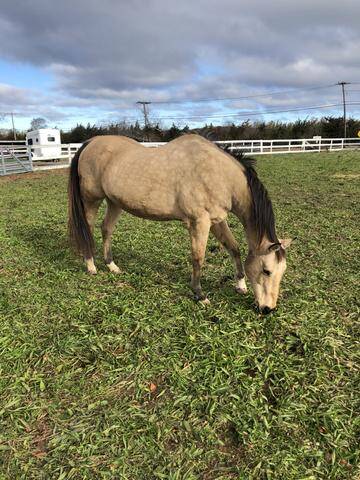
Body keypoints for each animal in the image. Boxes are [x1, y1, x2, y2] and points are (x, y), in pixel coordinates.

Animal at [68, 133, 292, 314]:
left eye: (282, 271)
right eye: (267, 271)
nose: (268, 309)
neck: (218, 173)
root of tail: (91, 142)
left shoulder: (217, 221)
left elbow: (234, 248)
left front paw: (241, 285)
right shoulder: (199, 223)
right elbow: (198, 258)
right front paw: (200, 295)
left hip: (114, 202)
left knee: (106, 229)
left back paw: (112, 265)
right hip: (91, 200)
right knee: (87, 229)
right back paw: (91, 265)